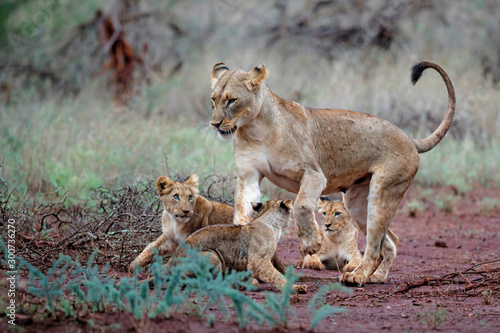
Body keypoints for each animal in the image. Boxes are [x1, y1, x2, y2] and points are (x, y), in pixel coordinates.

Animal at [209, 61, 456, 284]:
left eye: (232, 100)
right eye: (213, 100)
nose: (214, 124)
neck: (255, 128)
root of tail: (410, 139)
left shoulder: (314, 174)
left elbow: (302, 205)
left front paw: (312, 243)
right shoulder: (249, 176)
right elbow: (242, 211)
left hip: (383, 192)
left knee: (375, 247)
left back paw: (357, 277)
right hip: (357, 203)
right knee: (390, 241)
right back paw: (376, 277)